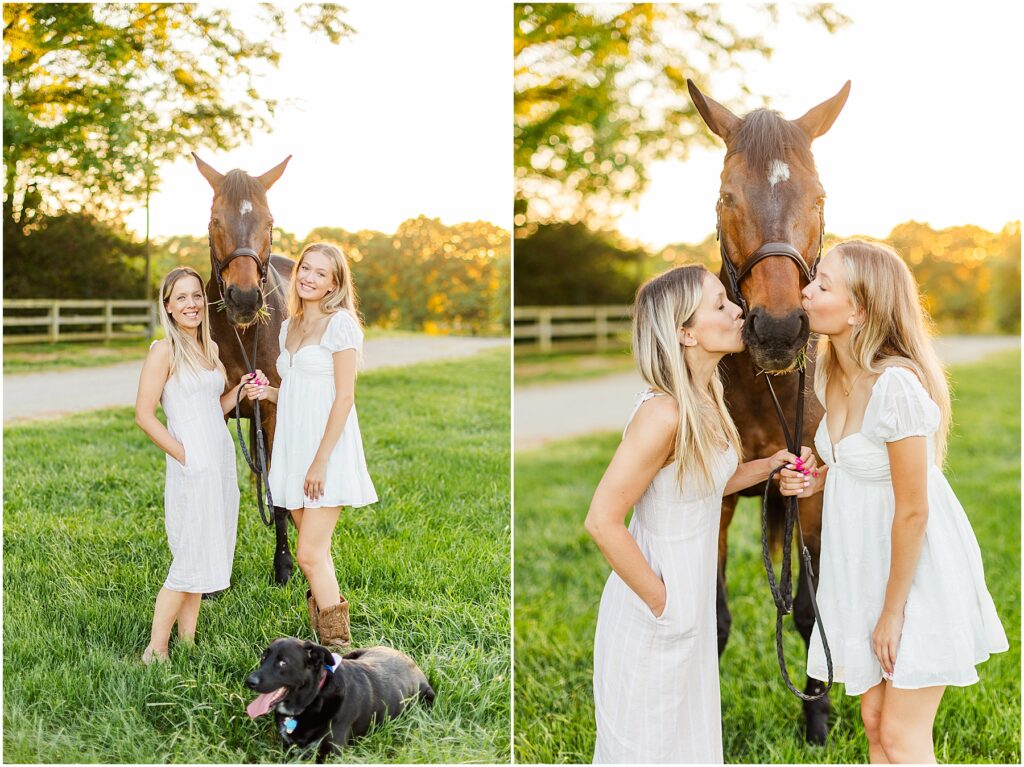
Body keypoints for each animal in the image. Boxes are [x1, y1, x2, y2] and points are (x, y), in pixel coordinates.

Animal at [245, 634, 434, 761]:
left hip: (428, 697)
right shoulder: (286, 747)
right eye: (263, 657)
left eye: (283, 662)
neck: (314, 698)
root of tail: (408, 658)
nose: (249, 681)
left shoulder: (333, 753)